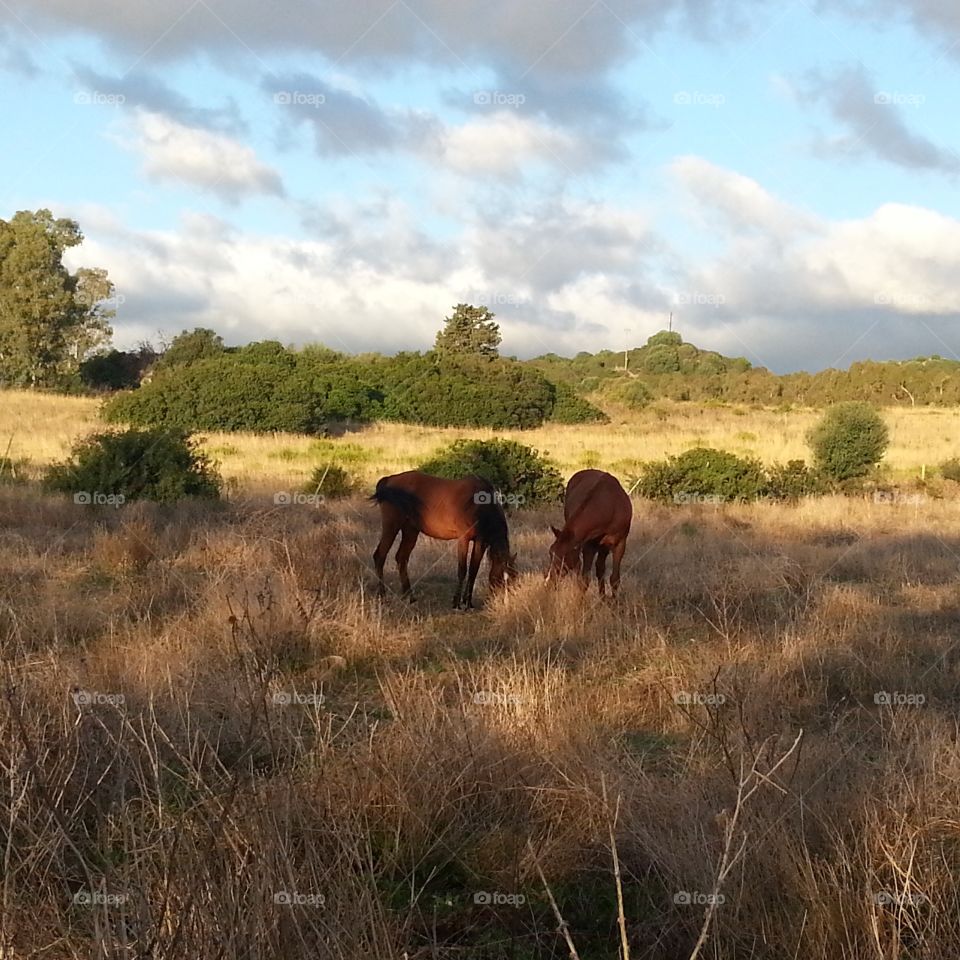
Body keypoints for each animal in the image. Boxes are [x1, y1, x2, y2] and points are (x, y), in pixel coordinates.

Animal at [370, 470, 516, 608]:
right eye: (500, 578)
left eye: (513, 578)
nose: (506, 603)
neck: (479, 507)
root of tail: (388, 480)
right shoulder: (463, 539)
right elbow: (462, 570)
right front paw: (456, 603)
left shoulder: (481, 541)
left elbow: (473, 570)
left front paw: (468, 602)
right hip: (391, 526)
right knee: (380, 556)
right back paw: (382, 596)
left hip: (410, 531)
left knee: (401, 558)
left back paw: (409, 597)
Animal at [548, 468, 632, 596]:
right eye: (551, 552)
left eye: (564, 557)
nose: (549, 582)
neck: (609, 506)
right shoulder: (589, 546)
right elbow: (584, 580)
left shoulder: (620, 544)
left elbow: (614, 579)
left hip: (604, 546)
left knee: (600, 568)